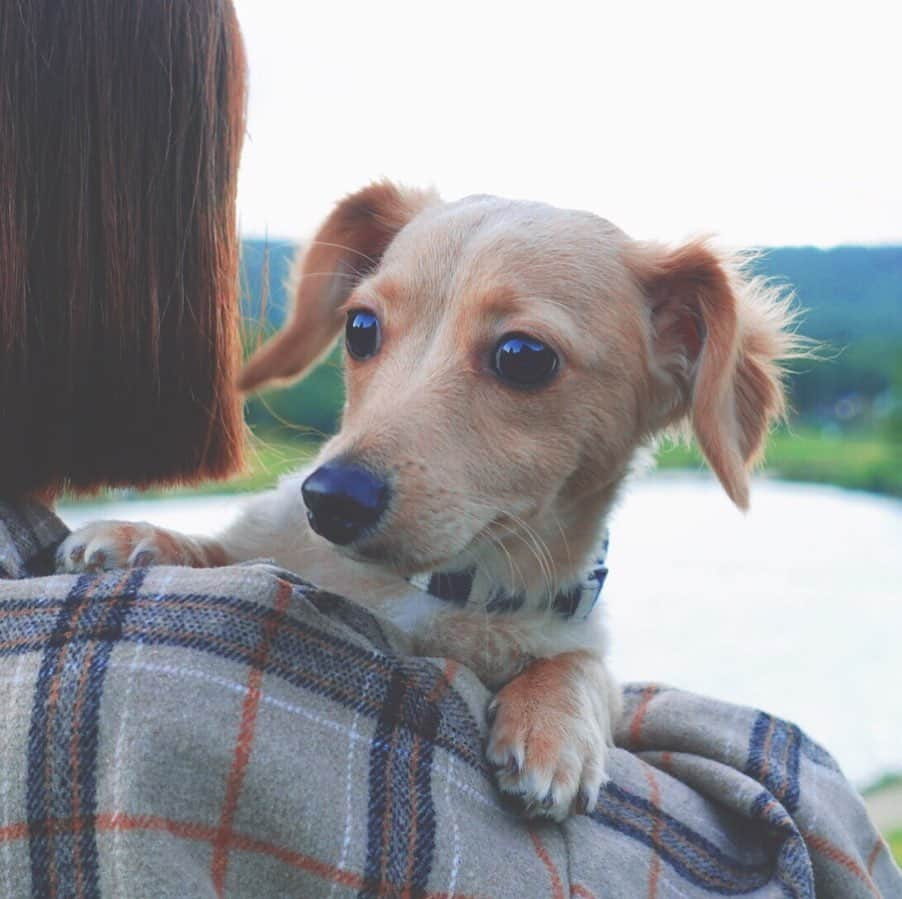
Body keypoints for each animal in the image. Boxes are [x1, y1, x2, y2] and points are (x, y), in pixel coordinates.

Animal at [60, 181, 796, 824]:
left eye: (523, 354)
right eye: (360, 326)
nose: (329, 499)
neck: (433, 586)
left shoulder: (578, 634)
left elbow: (584, 663)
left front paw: (555, 726)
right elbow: (225, 548)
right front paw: (140, 535)